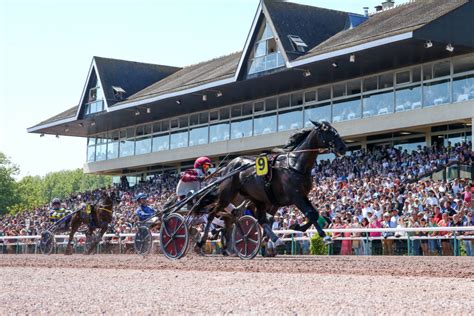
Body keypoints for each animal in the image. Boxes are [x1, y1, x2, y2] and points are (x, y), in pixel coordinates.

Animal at [197, 121, 348, 252]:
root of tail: (228, 166)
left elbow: (315, 213)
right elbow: (310, 213)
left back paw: (274, 240)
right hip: (227, 195)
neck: (295, 165)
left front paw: (297, 226)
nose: (343, 148)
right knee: (212, 214)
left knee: (260, 219)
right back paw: (201, 241)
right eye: (328, 132)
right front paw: (325, 237)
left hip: (256, 198)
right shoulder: (295, 196)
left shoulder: (303, 195)